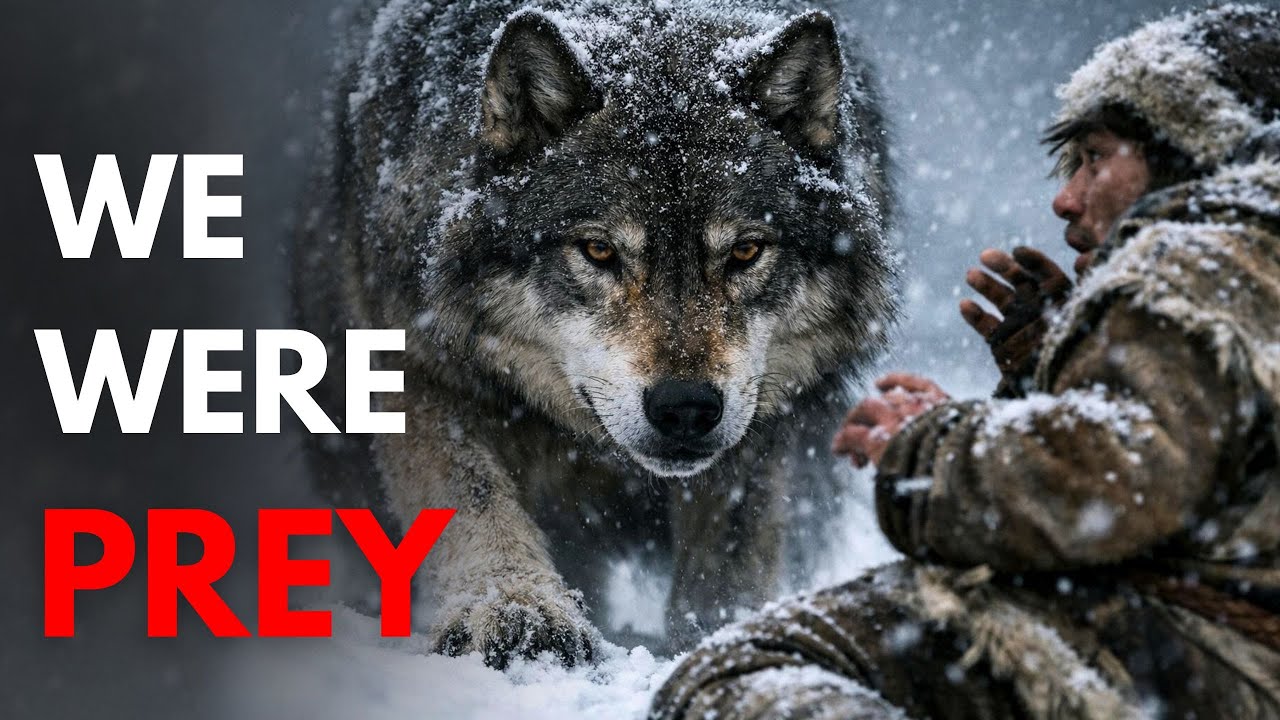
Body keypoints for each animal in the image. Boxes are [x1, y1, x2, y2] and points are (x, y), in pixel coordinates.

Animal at [293, 0, 898, 668]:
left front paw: (717, 637)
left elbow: (731, 550)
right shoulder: (414, 361)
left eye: (745, 251)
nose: (686, 407)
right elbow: (469, 494)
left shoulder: (768, 415)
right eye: (599, 250)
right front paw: (517, 608)